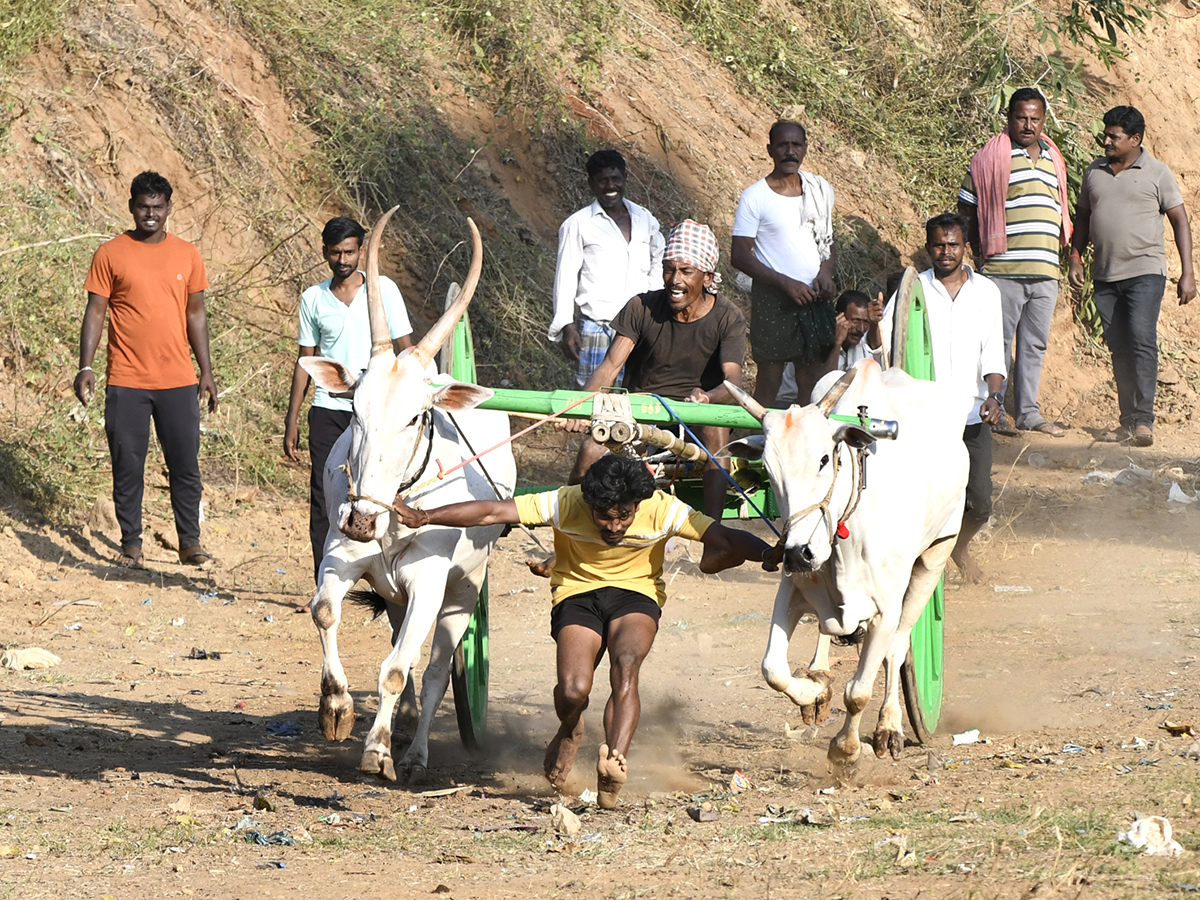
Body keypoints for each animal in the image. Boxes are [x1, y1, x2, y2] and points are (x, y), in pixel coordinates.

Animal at [302, 210, 513, 782]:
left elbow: (396, 670)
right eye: (355, 408)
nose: (360, 520)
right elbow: (324, 613)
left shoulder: (429, 583)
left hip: (463, 593)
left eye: (416, 416)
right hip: (396, 594)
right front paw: (336, 708)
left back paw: (415, 753)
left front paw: (376, 750)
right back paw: (405, 722)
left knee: (436, 668)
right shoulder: (341, 556)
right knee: (411, 655)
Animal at [724, 360, 969, 777]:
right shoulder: (792, 591)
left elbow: (858, 691)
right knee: (828, 633)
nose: (799, 554)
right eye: (769, 470)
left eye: (825, 458)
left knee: (898, 647)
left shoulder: (887, 609)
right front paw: (813, 693)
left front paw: (846, 750)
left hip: (936, 554)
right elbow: (773, 669)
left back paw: (890, 726)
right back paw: (819, 676)